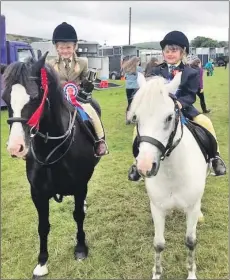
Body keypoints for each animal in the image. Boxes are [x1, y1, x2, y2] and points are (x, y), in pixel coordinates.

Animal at [2, 52, 101, 278]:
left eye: (35, 97)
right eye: (4, 98)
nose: (15, 147)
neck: (52, 148)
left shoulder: (80, 186)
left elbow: (78, 215)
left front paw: (80, 248)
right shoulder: (37, 193)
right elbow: (43, 226)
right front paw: (42, 262)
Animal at [127, 73, 208, 278]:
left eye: (169, 117)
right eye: (136, 117)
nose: (145, 166)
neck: (173, 173)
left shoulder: (191, 208)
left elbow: (190, 241)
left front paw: (191, 274)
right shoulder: (157, 208)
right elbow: (158, 244)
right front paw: (156, 273)